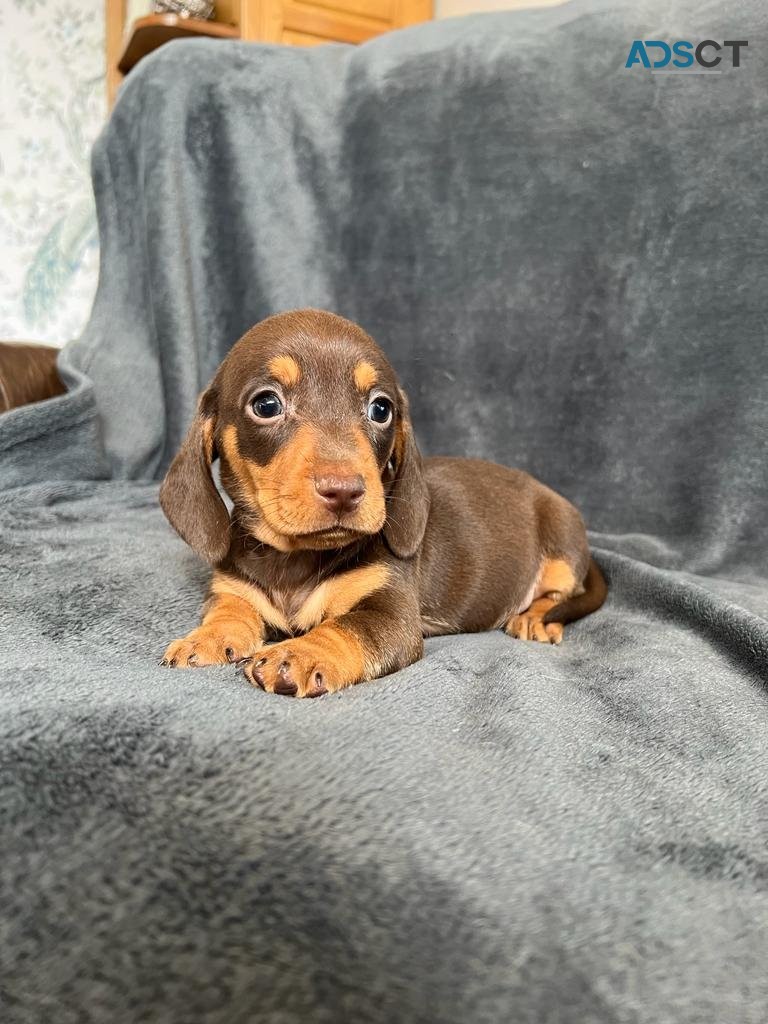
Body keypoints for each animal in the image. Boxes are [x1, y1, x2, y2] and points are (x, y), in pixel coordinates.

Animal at [160, 309, 606, 696]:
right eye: (266, 405)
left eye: (380, 408)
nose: (344, 491)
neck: (295, 558)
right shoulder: (233, 589)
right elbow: (229, 610)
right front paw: (208, 638)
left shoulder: (389, 611)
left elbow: (346, 628)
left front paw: (299, 653)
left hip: (562, 543)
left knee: (558, 594)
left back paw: (535, 617)